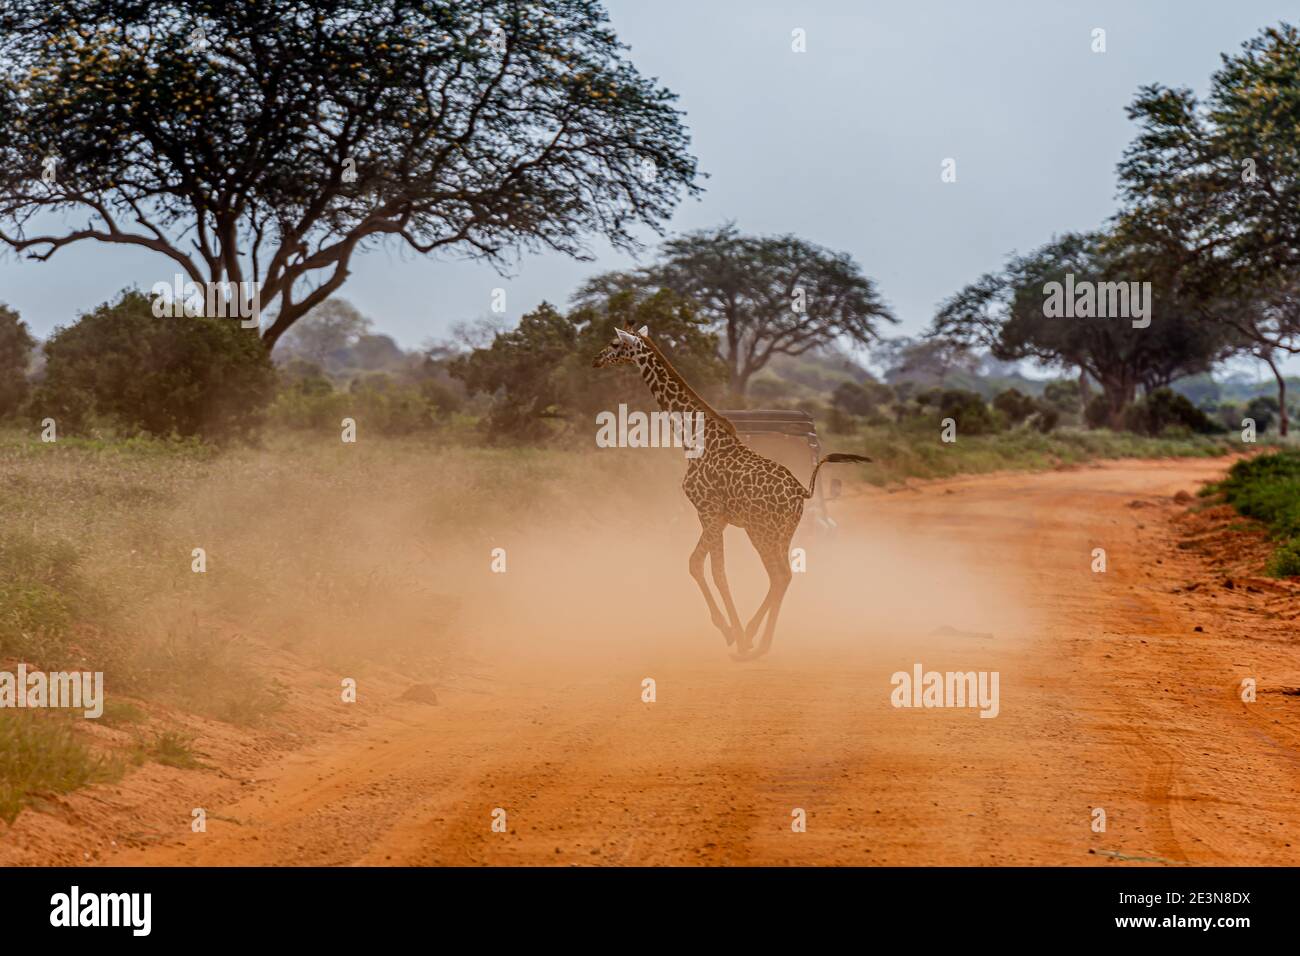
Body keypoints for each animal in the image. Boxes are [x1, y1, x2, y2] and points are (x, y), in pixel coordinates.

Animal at [595, 321, 868, 658]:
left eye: (614, 344)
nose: (595, 359)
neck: (694, 439)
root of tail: (801, 494)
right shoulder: (715, 516)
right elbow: (695, 564)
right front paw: (728, 631)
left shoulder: (708, 510)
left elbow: (718, 572)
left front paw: (735, 634)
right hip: (782, 532)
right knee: (784, 576)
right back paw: (759, 641)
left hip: (762, 530)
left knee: (779, 575)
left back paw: (753, 641)